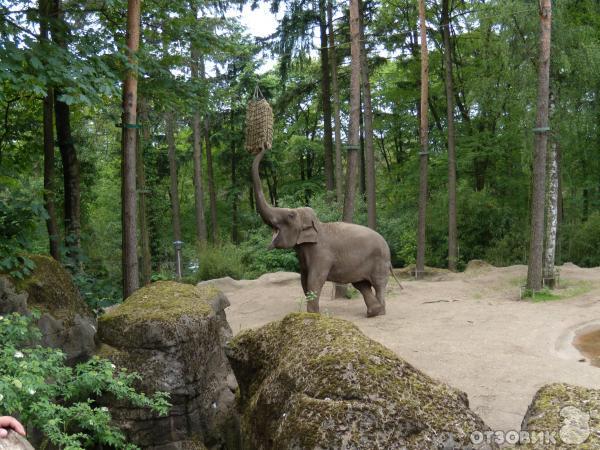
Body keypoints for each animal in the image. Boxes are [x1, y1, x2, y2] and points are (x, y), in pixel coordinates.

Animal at [252, 148, 398, 316]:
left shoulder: (321, 253)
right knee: (361, 284)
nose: (265, 147)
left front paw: (313, 315)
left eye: (290, 215)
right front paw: (313, 314)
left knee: (378, 284)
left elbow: (315, 279)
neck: (318, 225)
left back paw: (379, 312)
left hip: (380, 261)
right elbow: (304, 279)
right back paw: (373, 312)